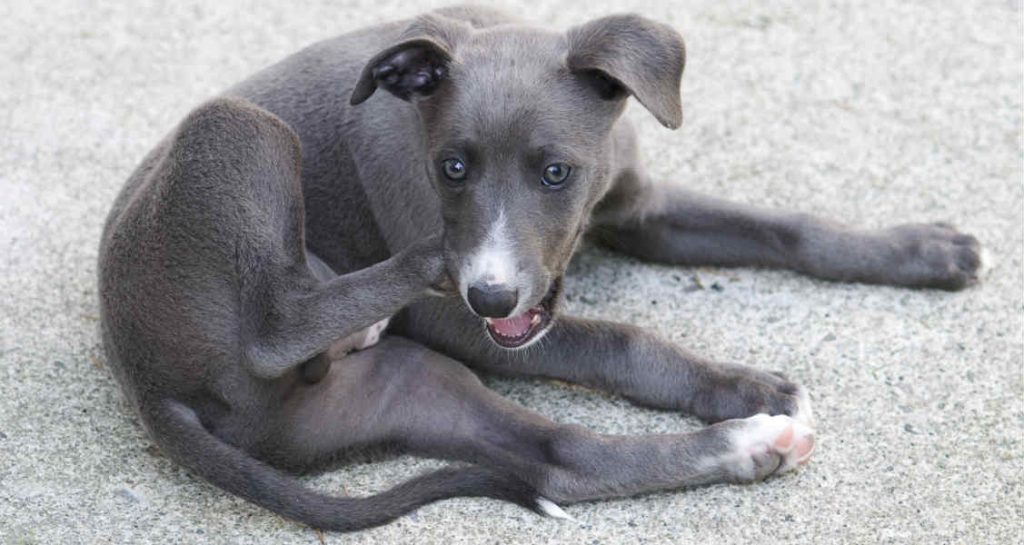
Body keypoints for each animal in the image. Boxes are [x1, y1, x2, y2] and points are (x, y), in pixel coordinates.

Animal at [99, 4, 978, 532]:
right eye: (450, 167)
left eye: (557, 171)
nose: (489, 291)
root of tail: (145, 380)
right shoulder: (465, 324)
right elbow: (622, 340)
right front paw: (744, 383)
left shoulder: (643, 210)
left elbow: (784, 228)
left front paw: (926, 250)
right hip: (236, 130)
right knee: (276, 322)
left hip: (406, 385)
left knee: (560, 460)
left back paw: (749, 448)